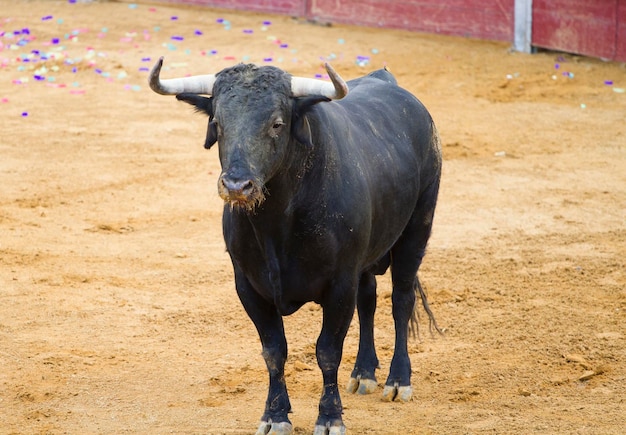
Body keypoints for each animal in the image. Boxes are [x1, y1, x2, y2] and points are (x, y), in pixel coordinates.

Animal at [149, 58, 442, 435]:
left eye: (277, 124)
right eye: (218, 123)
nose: (237, 185)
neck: (277, 225)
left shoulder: (339, 285)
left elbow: (328, 351)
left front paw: (330, 418)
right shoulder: (248, 285)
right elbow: (274, 350)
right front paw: (274, 416)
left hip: (417, 229)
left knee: (401, 300)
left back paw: (397, 380)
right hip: (365, 259)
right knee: (369, 299)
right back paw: (363, 373)